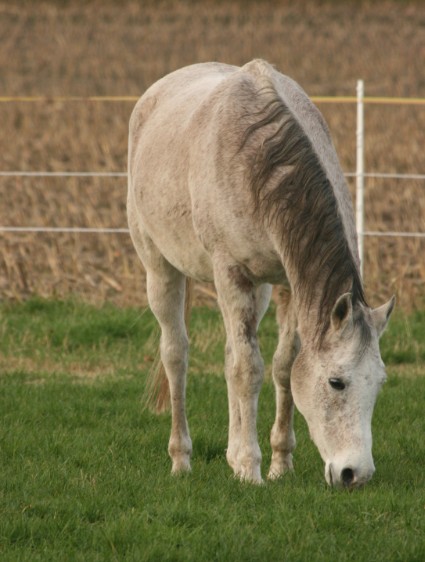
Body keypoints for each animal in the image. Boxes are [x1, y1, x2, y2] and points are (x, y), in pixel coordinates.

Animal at [126, 59, 394, 484]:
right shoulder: (231, 273)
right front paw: (250, 470)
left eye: (380, 382)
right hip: (160, 269)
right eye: (336, 382)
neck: (262, 161)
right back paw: (181, 459)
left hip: (260, 290)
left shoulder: (287, 284)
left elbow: (282, 366)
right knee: (176, 355)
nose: (356, 474)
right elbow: (248, 369)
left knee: (229, 354)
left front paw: (279, 464)